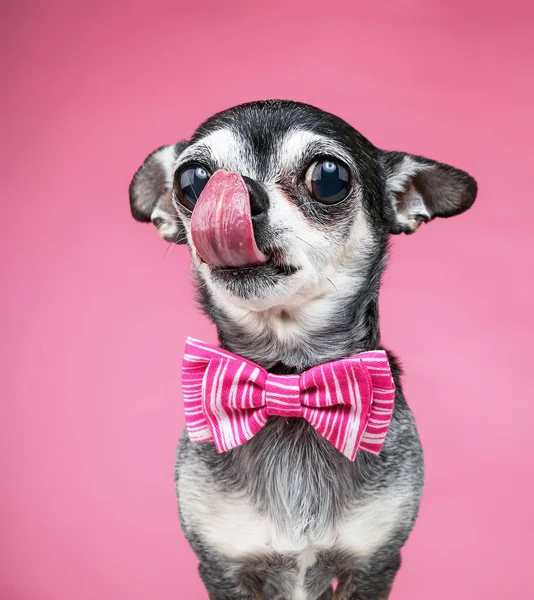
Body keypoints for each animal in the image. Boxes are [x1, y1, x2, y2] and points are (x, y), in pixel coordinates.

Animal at [129, 101, 478, 596]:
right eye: (193, 180)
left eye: (329, 177)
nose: (239, 193)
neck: (288, 379)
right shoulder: (224, 569)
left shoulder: (373, 566)